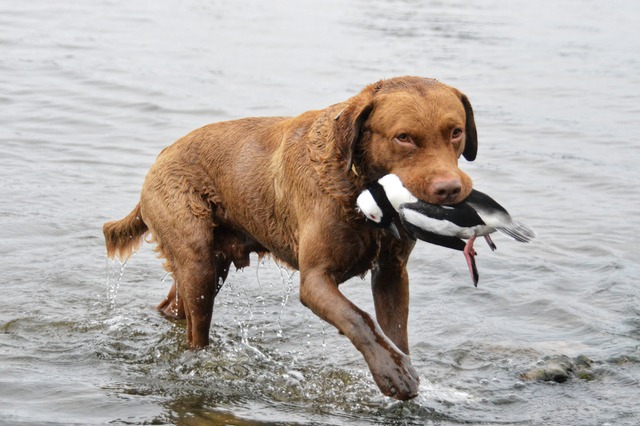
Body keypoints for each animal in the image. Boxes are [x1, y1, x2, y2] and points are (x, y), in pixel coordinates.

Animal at [104, 75, 476, 400]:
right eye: (404, 138)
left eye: (455, 133)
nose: (449, 189)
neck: (360, 187)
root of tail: (160, 158)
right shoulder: (314, 280)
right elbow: (358, 318)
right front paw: (393, 374)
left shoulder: (392, 271)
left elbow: (396, 331)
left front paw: (401, 366)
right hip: (197, 259)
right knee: (196, 330)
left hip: (210, 263)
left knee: (175, 305)